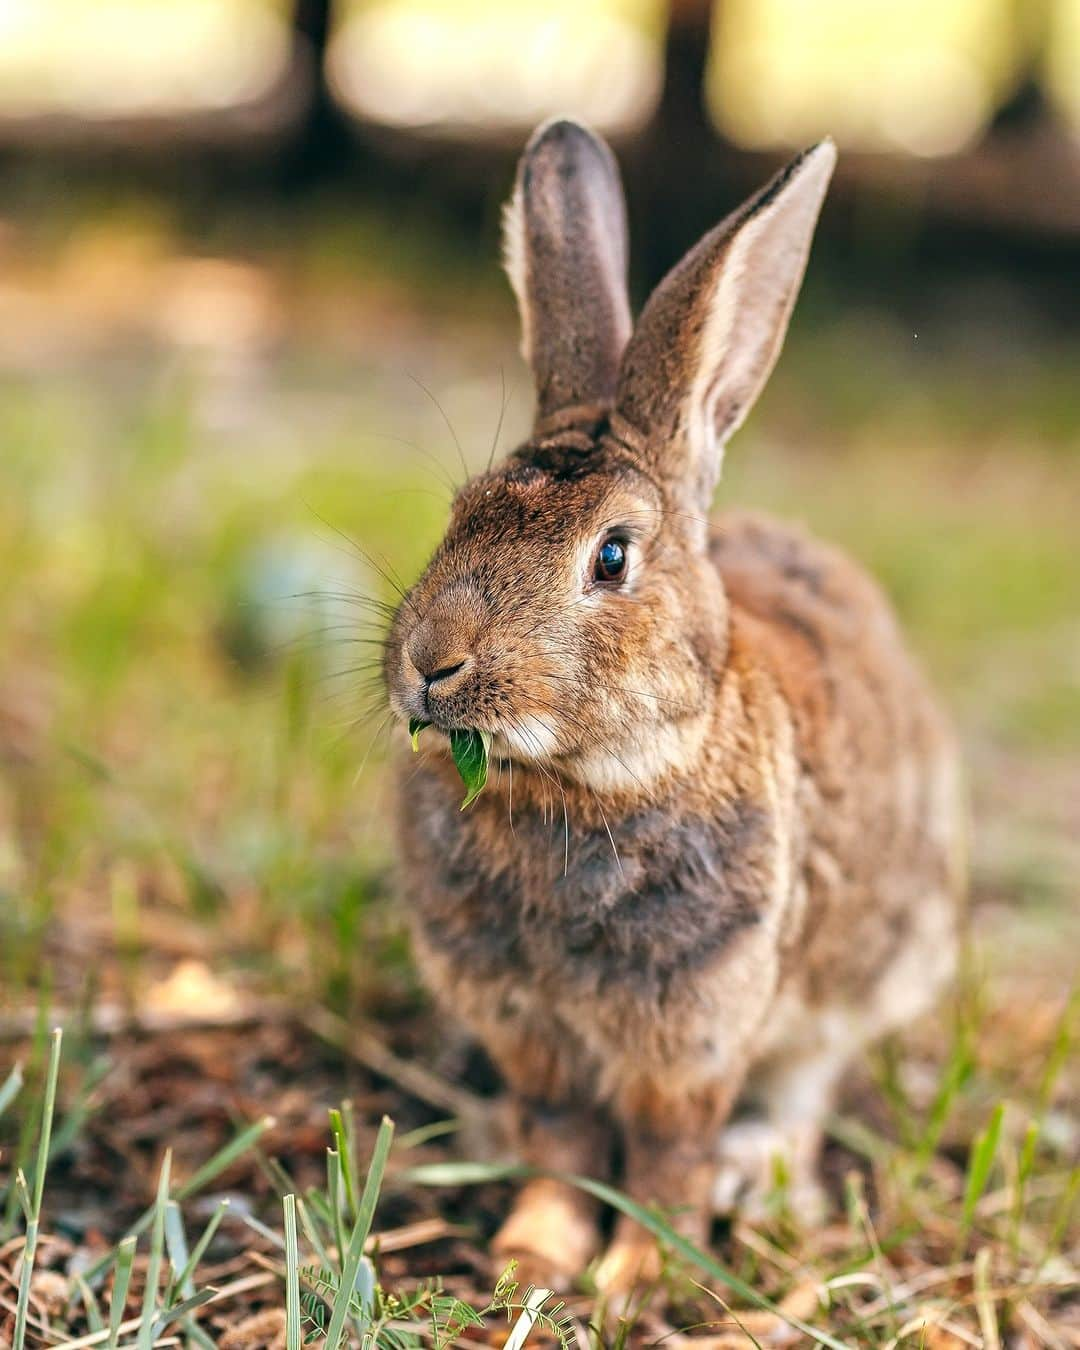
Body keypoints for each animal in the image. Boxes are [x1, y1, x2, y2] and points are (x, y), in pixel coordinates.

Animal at [380, 121, 961, 1290]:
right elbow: (561, 1141)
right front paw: (531, 1257)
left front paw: (635, 1277)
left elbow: (663, 1157)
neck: (579, 782)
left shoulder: (694, 1031)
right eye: (458, 515)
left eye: (611, 556)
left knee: (804, 1094)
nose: (431, 663)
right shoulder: (532, 1034)